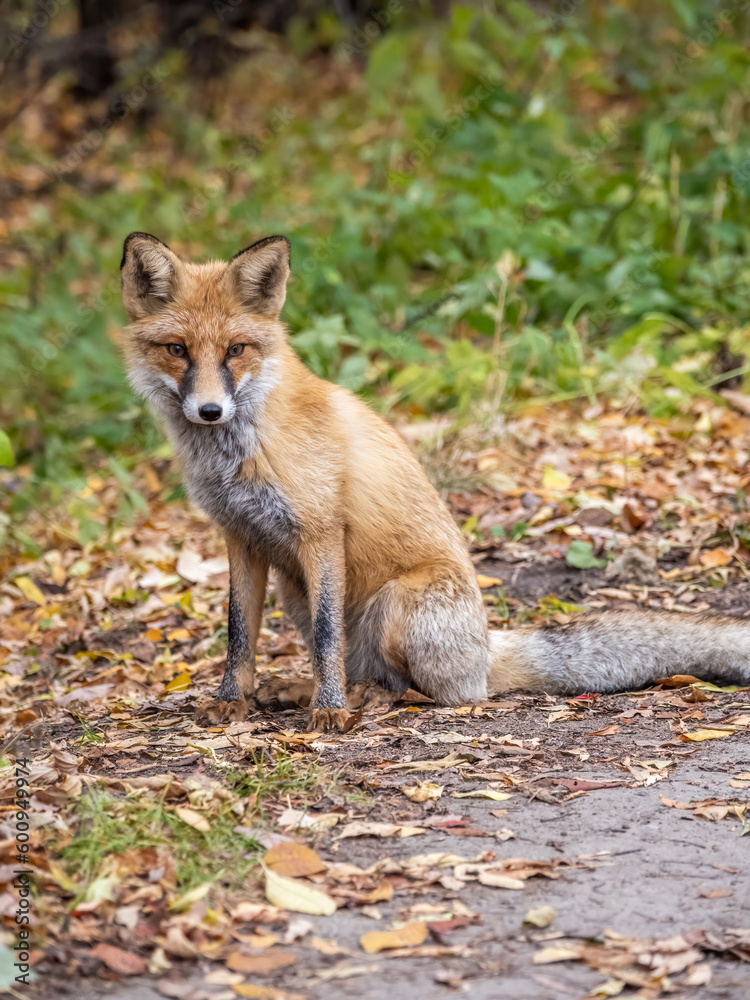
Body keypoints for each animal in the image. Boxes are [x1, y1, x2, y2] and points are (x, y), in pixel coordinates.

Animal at [120, 230, 750, 732]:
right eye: (177, 350)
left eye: (236, 350)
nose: (209, 411)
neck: (239, 451)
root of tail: (485, 649)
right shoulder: (243, 538)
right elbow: (238, 634)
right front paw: (235, 700)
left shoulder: (320, 533)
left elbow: (325, 638)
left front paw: (329, 711)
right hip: (295, 592)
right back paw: (315, 690)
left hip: (396, 606)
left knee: (439, 693)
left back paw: (369, 699)